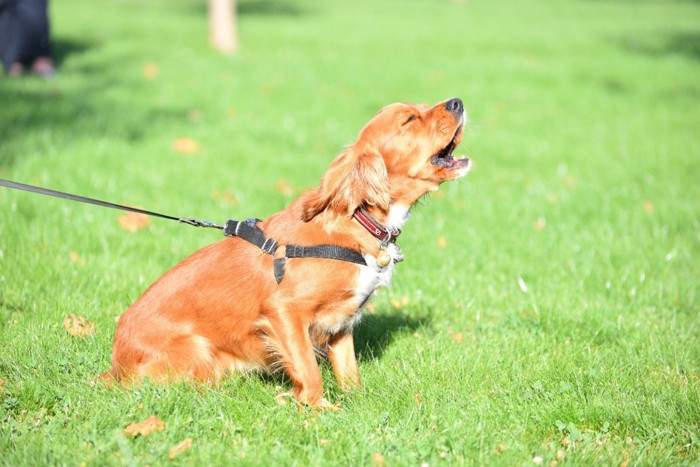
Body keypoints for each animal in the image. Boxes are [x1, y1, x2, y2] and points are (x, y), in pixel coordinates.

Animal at [102, 97, 470, 408]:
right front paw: (317, 408)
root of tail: (115, 366)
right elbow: (309, 368)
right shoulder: (284, 311)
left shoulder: (341, 324)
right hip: (199, 350)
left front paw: (356, 403)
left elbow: (349, 372)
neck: (357, 220)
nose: (458, 101)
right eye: (409, 119)